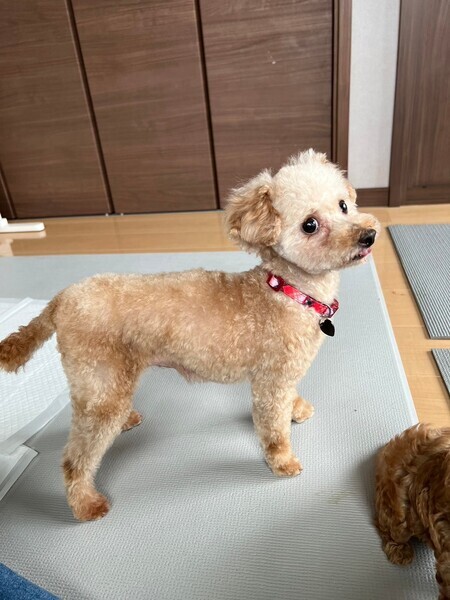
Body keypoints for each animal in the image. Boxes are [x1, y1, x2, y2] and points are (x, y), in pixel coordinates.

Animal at [0, 149, 379, 521]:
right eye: (309, 225)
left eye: (343, 205)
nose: (369, 235)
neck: (289, 290)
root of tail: (61, 300)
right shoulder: (271, 382)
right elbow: (273, 430)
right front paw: (283, 462)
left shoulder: (281, 377)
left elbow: (291, 398)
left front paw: (297, 409)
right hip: (100, 383)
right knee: (74, 459)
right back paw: (85, 504)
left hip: (105, 382)